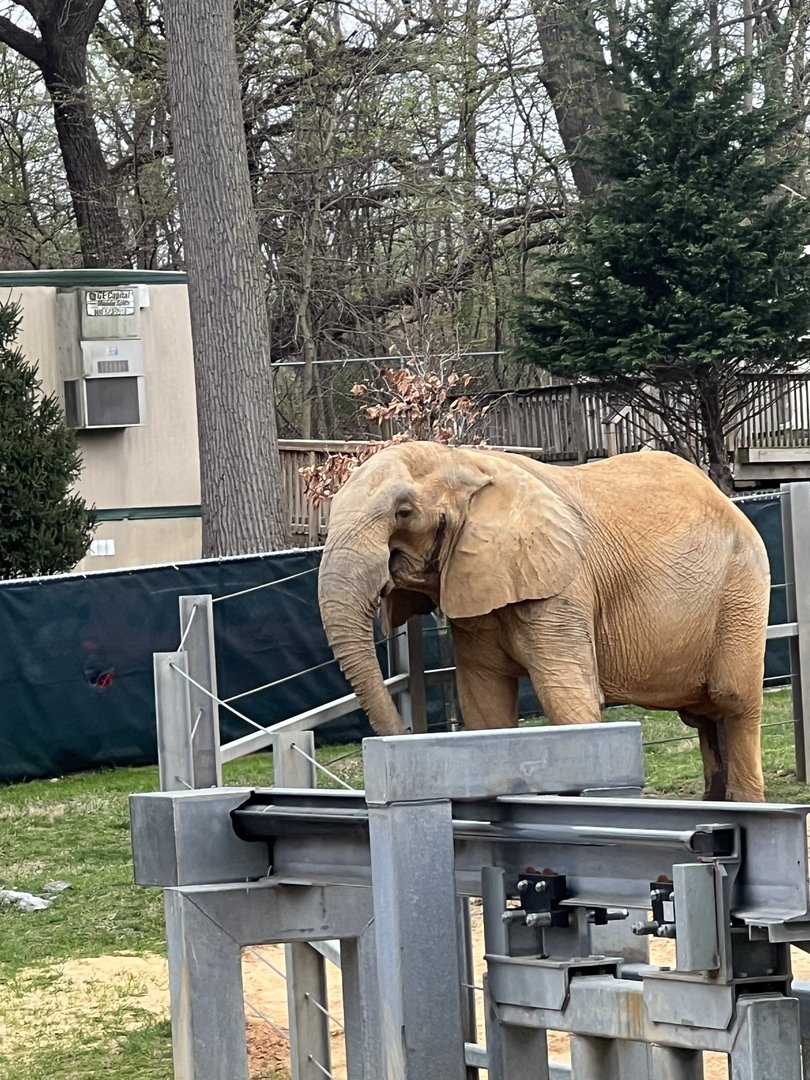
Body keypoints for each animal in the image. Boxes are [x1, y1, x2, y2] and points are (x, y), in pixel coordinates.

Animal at [317, 441, 770, 802]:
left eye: (404, 512)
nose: (404, 740)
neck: (464, 460)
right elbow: (485, 707)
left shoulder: (561, 587)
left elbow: (567, 703)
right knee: (703, 714)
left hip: (742, 586)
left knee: (733, 699)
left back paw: (745, 807)